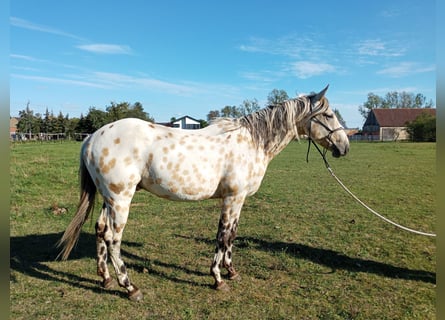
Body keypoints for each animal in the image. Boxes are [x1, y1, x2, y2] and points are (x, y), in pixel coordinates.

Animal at [57, 84, 348, 300]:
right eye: (328, 115)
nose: (344, 147)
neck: (252, 142)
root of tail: (92, 138)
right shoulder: (232, 198)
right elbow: (223, 236)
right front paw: (218, 278)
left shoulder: (238, 200)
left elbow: (232, 235)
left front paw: (231, 271)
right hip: (120, 199)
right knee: (113, 239)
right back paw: (130, 287)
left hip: (109, 198)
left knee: (100, 230)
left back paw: (105, 278)